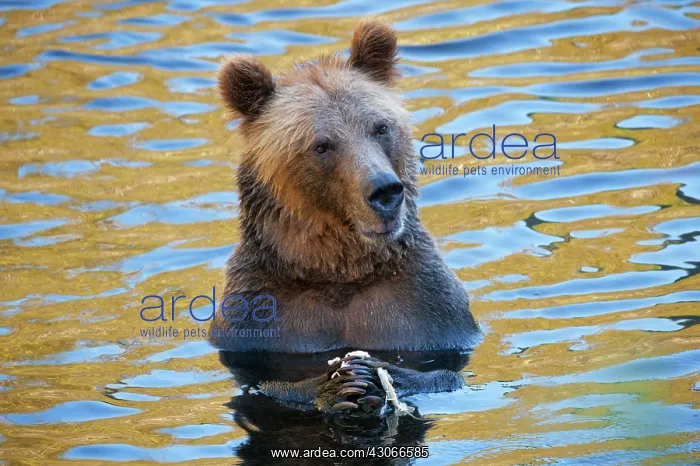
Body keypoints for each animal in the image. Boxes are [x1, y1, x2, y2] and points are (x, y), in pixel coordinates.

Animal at [209, 18, 482, 416]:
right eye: (322, 145)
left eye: (380, 127)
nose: (385, 191)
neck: (338, 271)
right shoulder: (258, 320)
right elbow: (264, 389)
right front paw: (338, 385)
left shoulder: (429, 309)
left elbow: (446, 373)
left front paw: (381, 374)